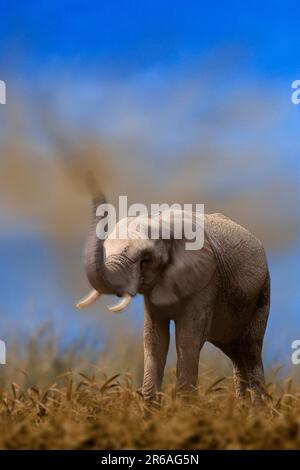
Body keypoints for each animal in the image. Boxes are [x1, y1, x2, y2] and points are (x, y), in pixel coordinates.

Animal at [77, 185, 270, 402]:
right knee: (235, 352)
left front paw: (185, 406)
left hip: (263, 293)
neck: (164, 225)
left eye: (146, 259)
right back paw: (243, 407)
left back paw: (257, 408)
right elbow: (154, 339)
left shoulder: (206, 281)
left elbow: (188, 338)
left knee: (251, 349)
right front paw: (150, 407)